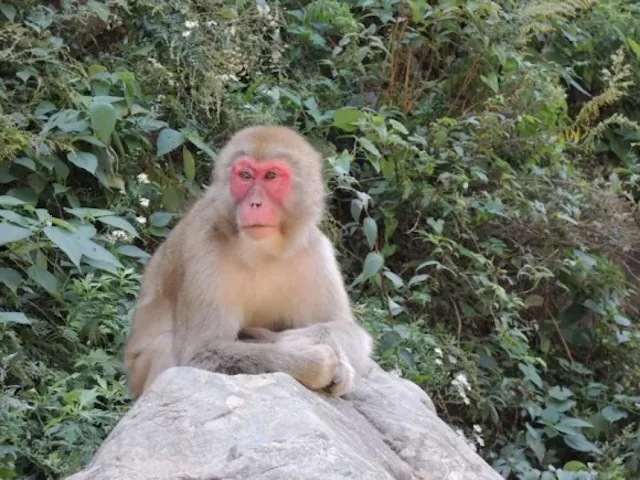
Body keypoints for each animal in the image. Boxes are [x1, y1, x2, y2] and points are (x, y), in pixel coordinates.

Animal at [124, 125, 374, 399]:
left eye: (271, 176)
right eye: (245, 175)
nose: (255, 203)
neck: (261, 251)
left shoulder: (317, 252)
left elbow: (350, 329)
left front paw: (328, 355)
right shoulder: (202, 248)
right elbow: (201, 353)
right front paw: (307, 360)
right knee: (164, 347)